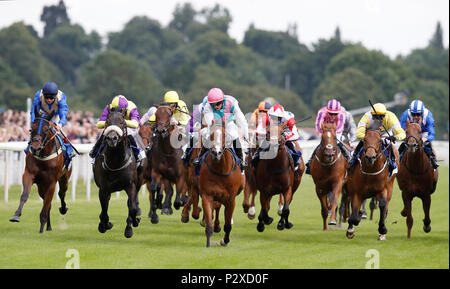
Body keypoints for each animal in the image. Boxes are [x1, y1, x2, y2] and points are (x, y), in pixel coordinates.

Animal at [94, 106, 143, 236]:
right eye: (107, 122)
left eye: (122, 122)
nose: (112, 138)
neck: (115, 162)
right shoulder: (104, 189)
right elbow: (104, 212)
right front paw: (105, 225)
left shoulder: (131, 185)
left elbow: (132, 208)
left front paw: (133, 224)